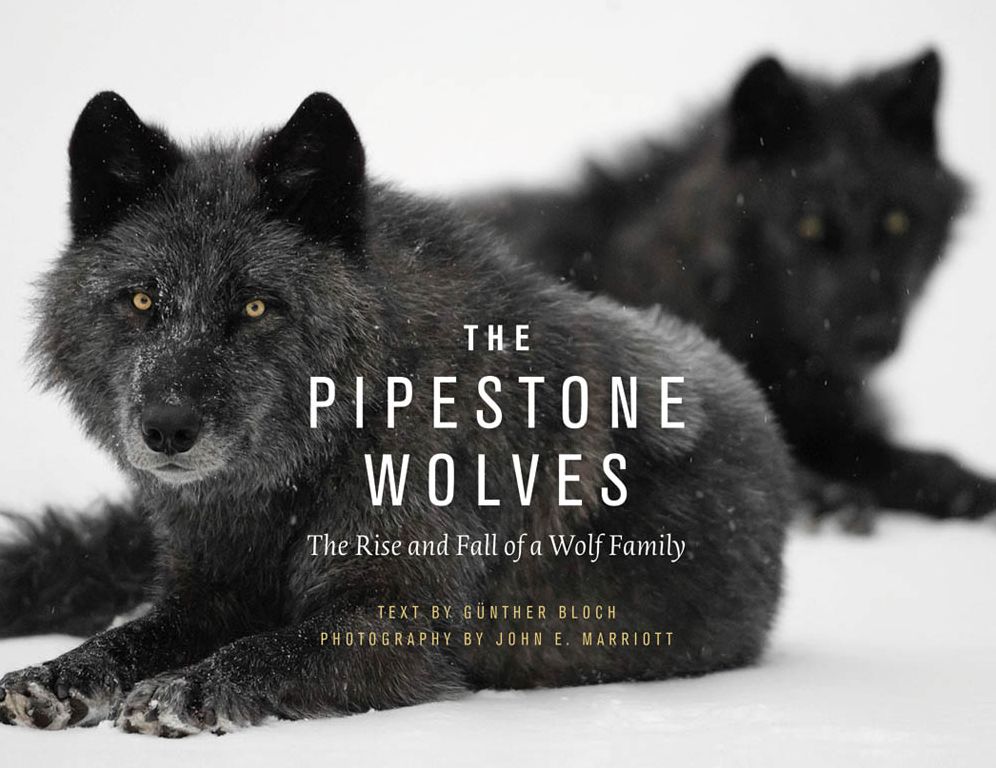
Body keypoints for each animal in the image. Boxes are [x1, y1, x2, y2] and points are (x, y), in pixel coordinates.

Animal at [0, 92, 792, 734]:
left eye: (255, 306)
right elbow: (130, 635)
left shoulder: (401, 626)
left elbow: (269, 649)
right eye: (141, 300)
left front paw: (182, 693)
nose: (167, 428)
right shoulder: (207, 594)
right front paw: (57, 676)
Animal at [470, 49, 995, 527]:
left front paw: (964, 484)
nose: (875, 336)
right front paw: (823, 496)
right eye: (807, 224)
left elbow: (898, 459)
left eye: (897, 221)